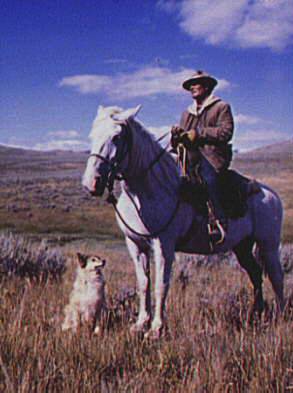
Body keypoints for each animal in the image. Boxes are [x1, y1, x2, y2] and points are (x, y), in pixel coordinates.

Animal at [82, 105, 282, 338]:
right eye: (91, 135)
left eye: (116, 136)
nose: (91, 183)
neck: (150, 189)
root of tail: (271, 194)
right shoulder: (135, 244)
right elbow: (143, 283)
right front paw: (140, 323)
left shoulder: (163, 244)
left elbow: (161, 284)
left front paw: (156, 328)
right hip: (242, 247)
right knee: (256, 274)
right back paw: (255, 314)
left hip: (269, 245)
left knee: (277, 277)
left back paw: (280, 316)